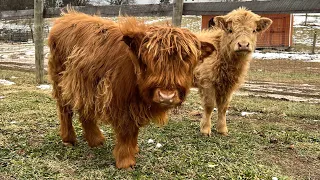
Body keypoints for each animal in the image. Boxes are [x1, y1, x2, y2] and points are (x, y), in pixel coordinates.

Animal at [48, 10, 215, 169]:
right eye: (150, 60)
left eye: (186, 59)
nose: (166, 96)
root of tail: (65, 17)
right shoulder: (122, 105)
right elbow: (127, 131)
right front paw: (126, 161)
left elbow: (134, 131)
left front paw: (133, 150)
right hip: (61, 82)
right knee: (65, 110)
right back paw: (69, 139)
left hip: (85, 86)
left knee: (85, 111)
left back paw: (96, 140)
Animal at [194, 7, 272, 136]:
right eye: (230, 30)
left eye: (254, 30)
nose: (243, 45)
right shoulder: (207, 81)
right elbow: (209, 105)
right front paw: (205, 129)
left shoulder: (228, 85)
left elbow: (223, 107)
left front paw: (222, 129)